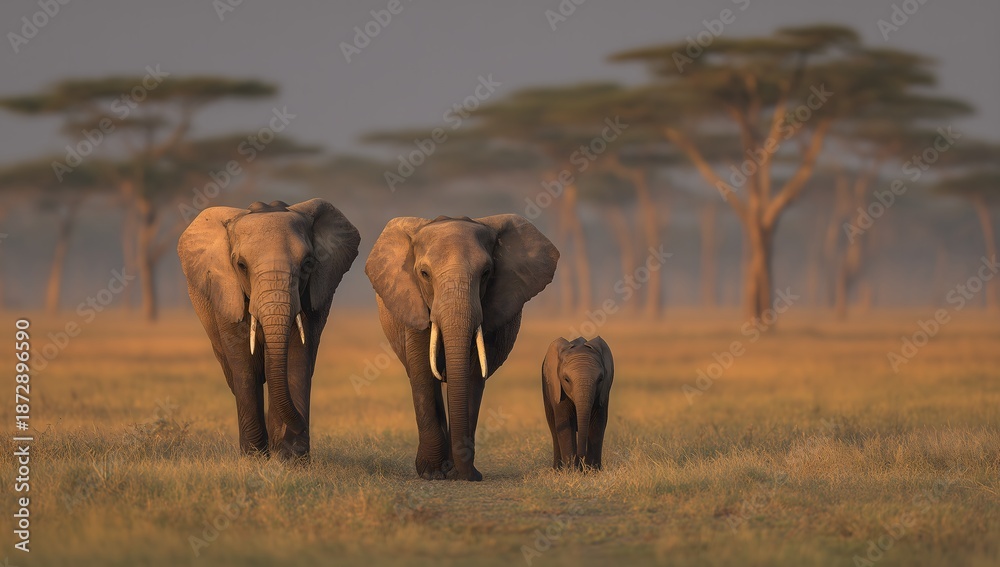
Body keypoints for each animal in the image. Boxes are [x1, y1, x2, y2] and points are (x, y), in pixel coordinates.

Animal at [178, 199, 360, 461]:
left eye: (308, 264)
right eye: (241, 265)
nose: (303, 426)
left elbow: (297, 358)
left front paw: (292, 458)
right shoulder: (225, 294)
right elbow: (244, 365)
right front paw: (254, 458)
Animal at [366, 214, 559, 481]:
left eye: (486, 273)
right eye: (424, 274)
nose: (473, 475)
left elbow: (472, 375)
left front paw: (460, 473)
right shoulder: (413, 304)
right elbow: (423, 373)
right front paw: (433, 474)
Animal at [542, 336, 614, 470]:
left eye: (600, 379)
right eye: (566, 379)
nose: (581, 455)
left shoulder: (603, 394)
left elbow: (597, 423)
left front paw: (593, 471)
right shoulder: (558, 390)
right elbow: (565, 422)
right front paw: (572, 471)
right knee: (553, 429)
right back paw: (557, 470)